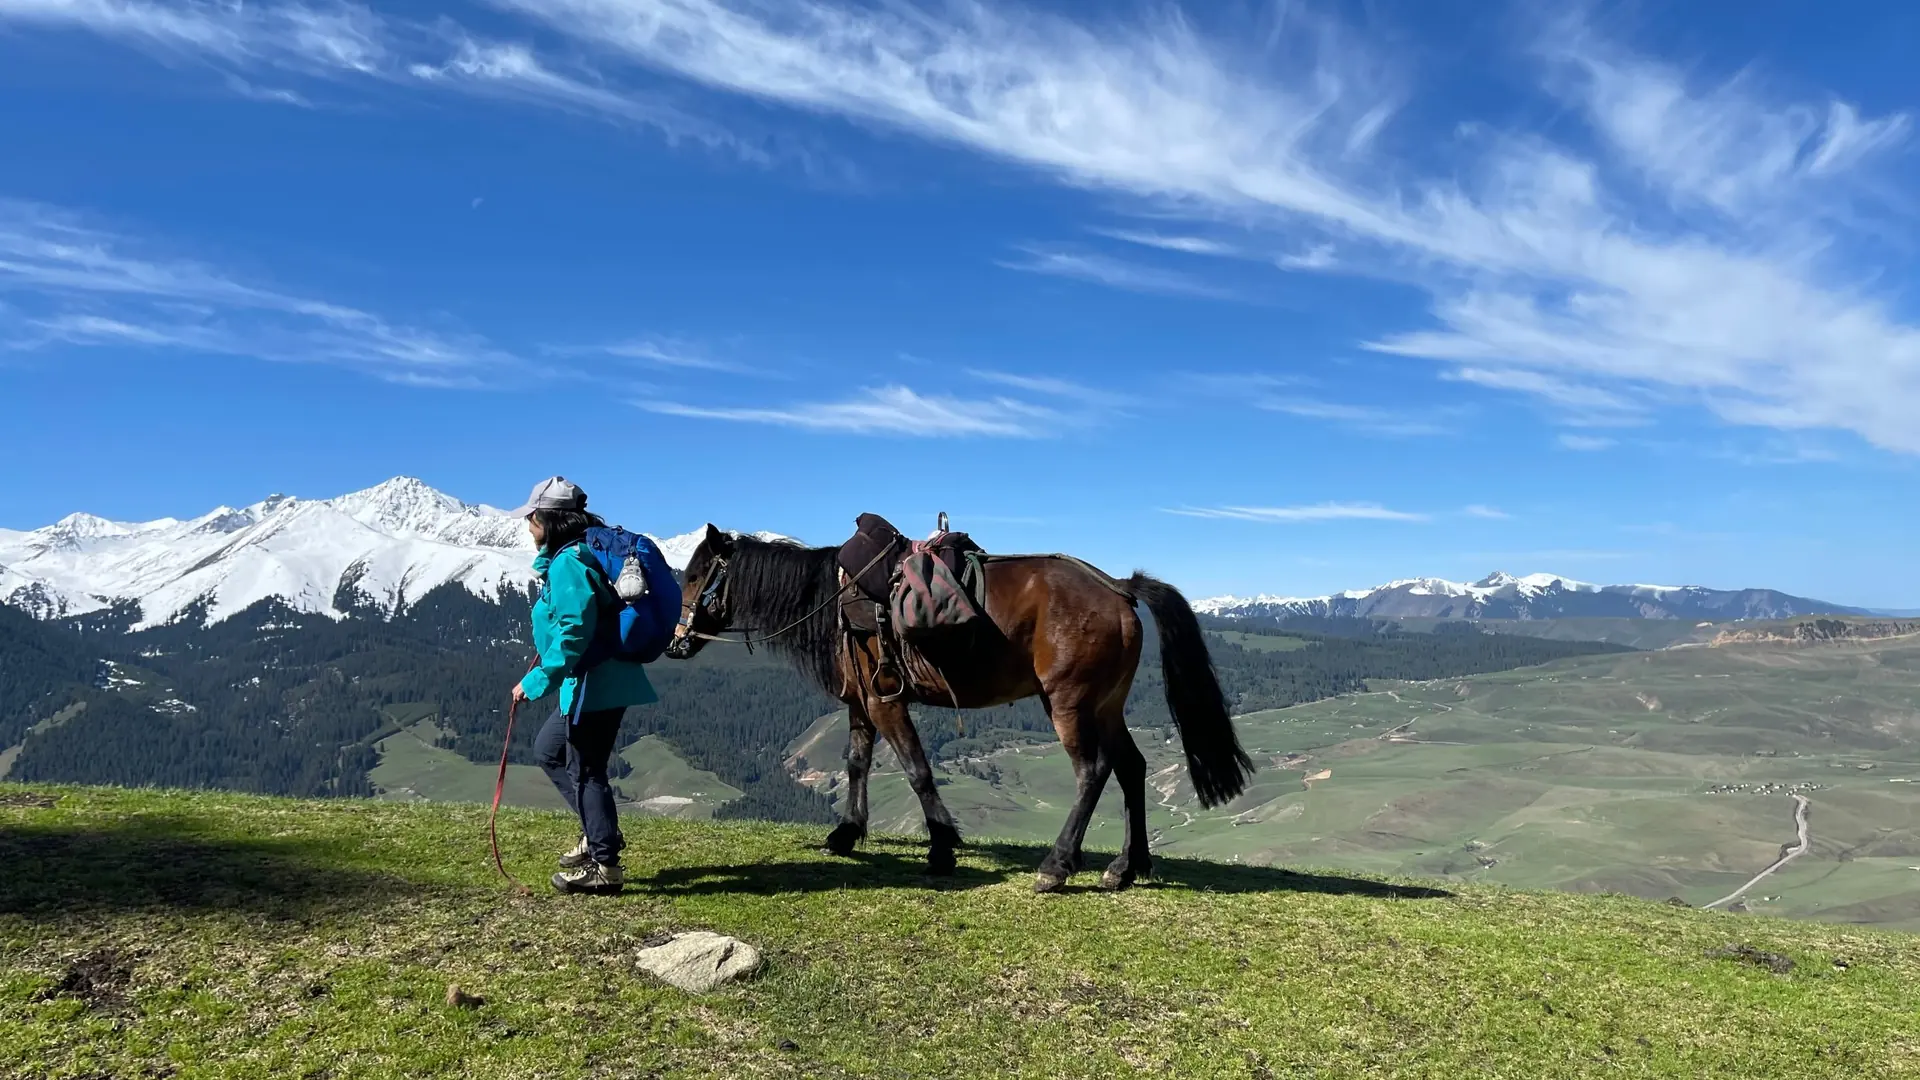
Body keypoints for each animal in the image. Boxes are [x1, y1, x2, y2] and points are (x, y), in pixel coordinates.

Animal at [663, 525, 1254, 893]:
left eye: (692, 576)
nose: (674, 642)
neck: (831, 602)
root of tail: (1118, 589)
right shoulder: (861, 703)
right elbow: (856, 764)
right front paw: (846, 833)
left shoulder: (885, 701)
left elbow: (918, 770)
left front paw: (942, 847)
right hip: (1107, 705)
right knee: (1132, 768)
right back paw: (1129, 866)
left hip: (1069, 703)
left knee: (1094, 771)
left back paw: (1057, 865)